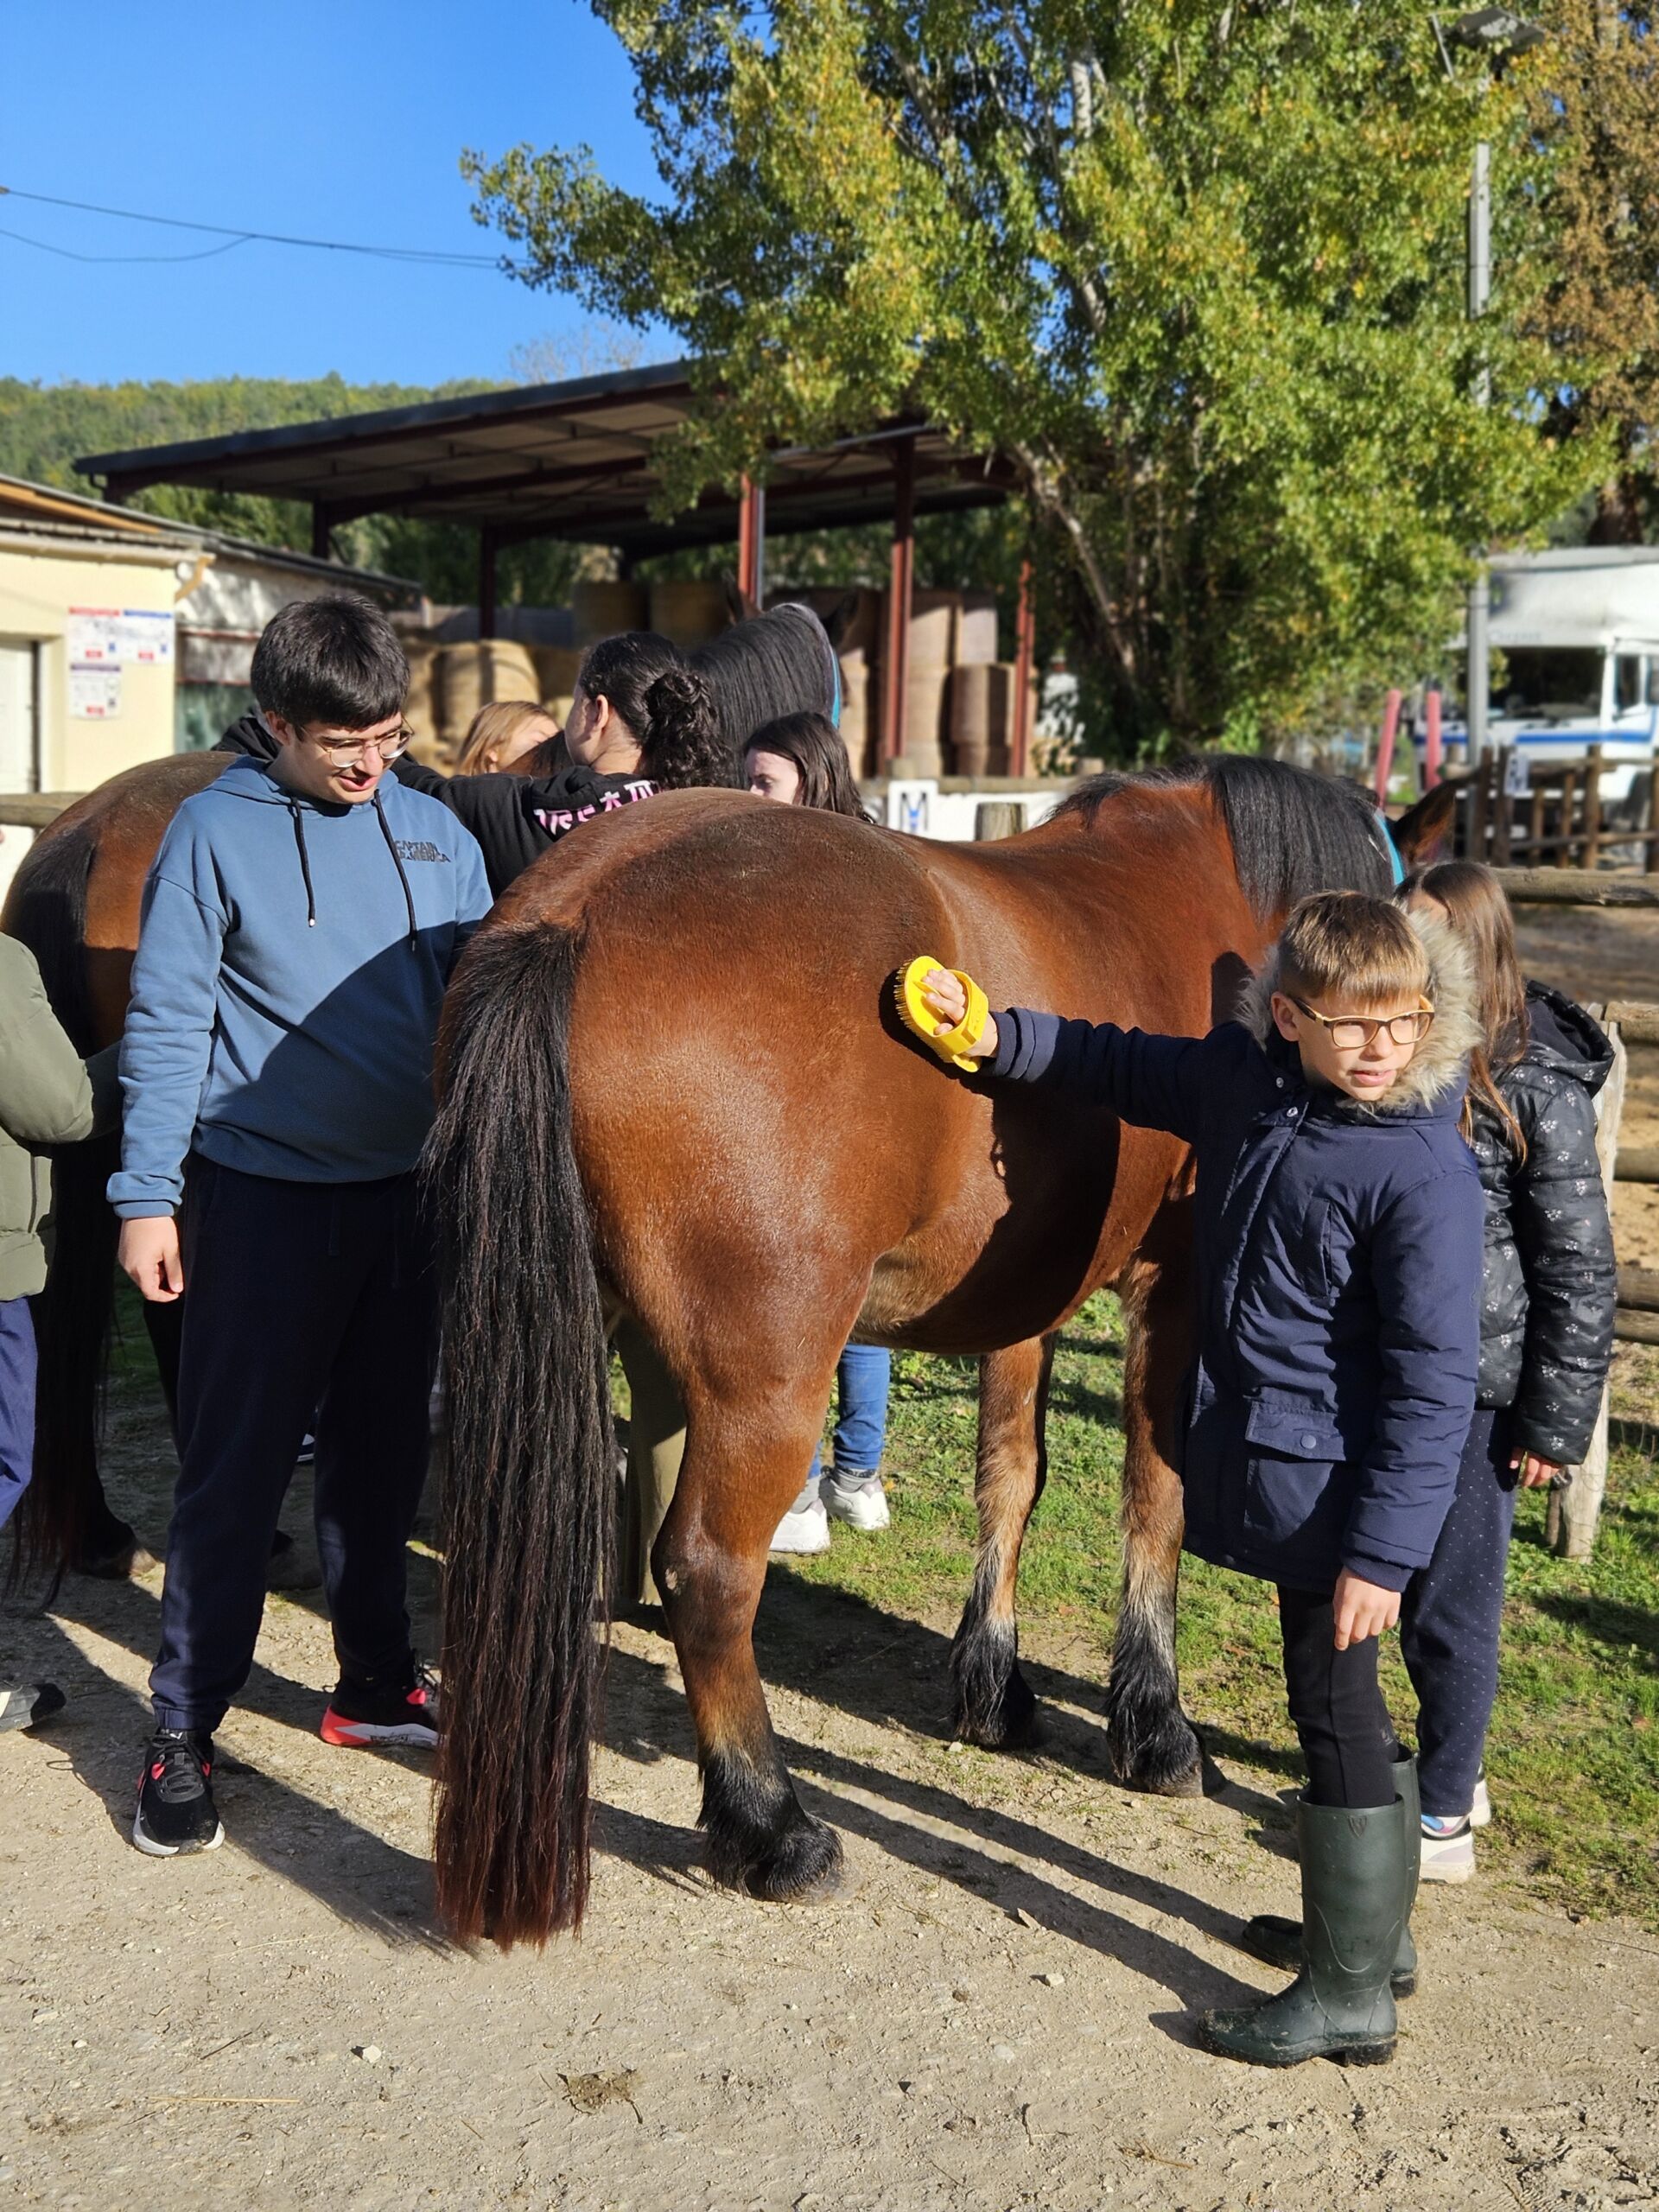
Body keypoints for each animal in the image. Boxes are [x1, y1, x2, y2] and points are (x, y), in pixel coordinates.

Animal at [426, 757, 1455, 1947]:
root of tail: (577, 909)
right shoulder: (1180, 1283)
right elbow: (1156, 1491)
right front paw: (1155, 1724)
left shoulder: (1023, 1298)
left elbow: (1011, 1476)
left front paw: (993, 1688)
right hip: (770, 1381)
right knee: (709, 1574)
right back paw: (772, 1826)